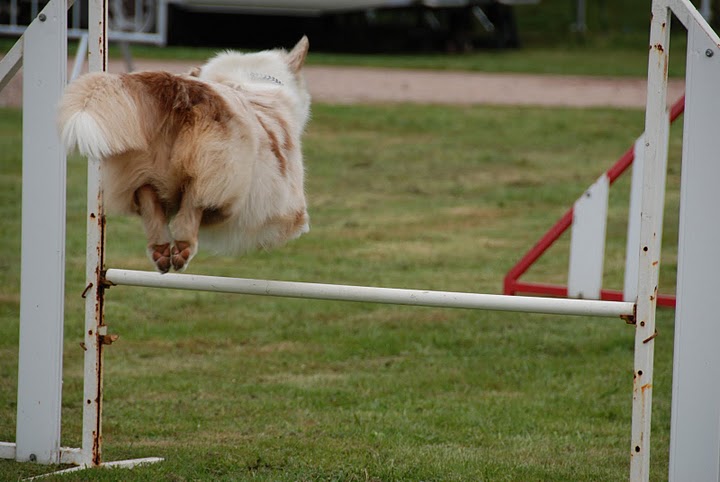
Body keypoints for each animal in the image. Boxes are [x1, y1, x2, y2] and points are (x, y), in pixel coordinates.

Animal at [57, 35, 310, 274]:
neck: (248, 83)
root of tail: (180, 88)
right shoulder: (289, 208)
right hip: (219, 171)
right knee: (195, 199)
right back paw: (183, 244)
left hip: (137, 166)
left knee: (147, 193)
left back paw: (160, 248)